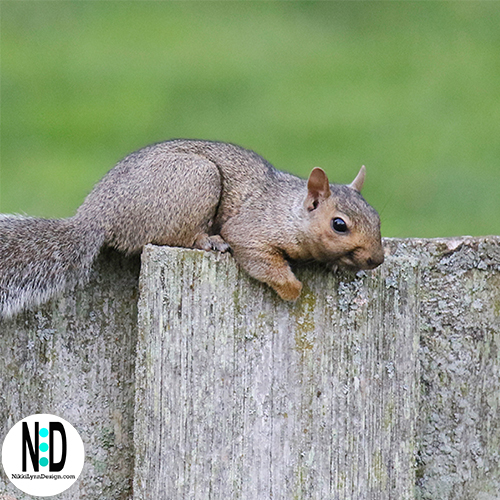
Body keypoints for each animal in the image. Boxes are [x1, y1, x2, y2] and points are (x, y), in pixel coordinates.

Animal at [0, 139, 384, 318]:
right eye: (339, 225)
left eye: (377, 218)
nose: (377, 260)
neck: (289, 211)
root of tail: (99, 214)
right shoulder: (252, 228)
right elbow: (260, 258)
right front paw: (292, 288)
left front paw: (337, 265)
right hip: (195, 181)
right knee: (175, 237)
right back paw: (209, 241)